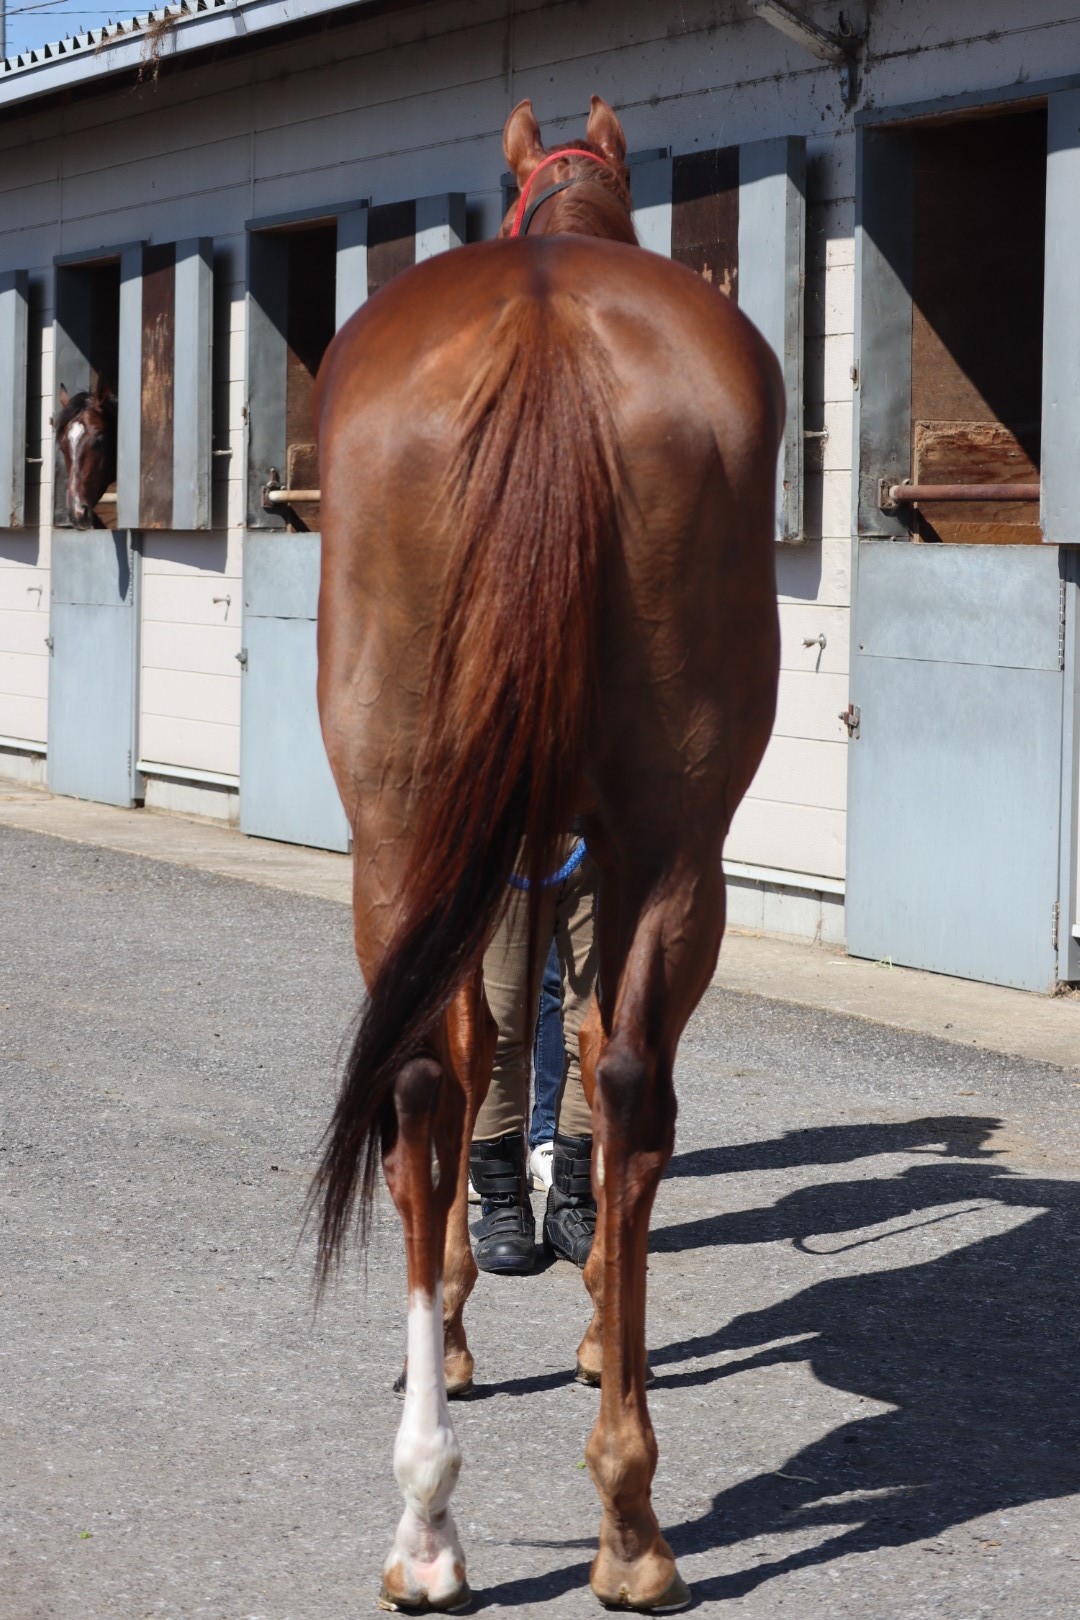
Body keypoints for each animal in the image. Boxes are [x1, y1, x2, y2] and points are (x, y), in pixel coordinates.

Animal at [314, 98, 786, 1607]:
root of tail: (546, 333)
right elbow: (554, 1060)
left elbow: (488, 1068)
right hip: (668, 844)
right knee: (619, 1082)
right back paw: (623, 1521)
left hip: (409, 837)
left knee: (426, 1082)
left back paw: (436, 1520)